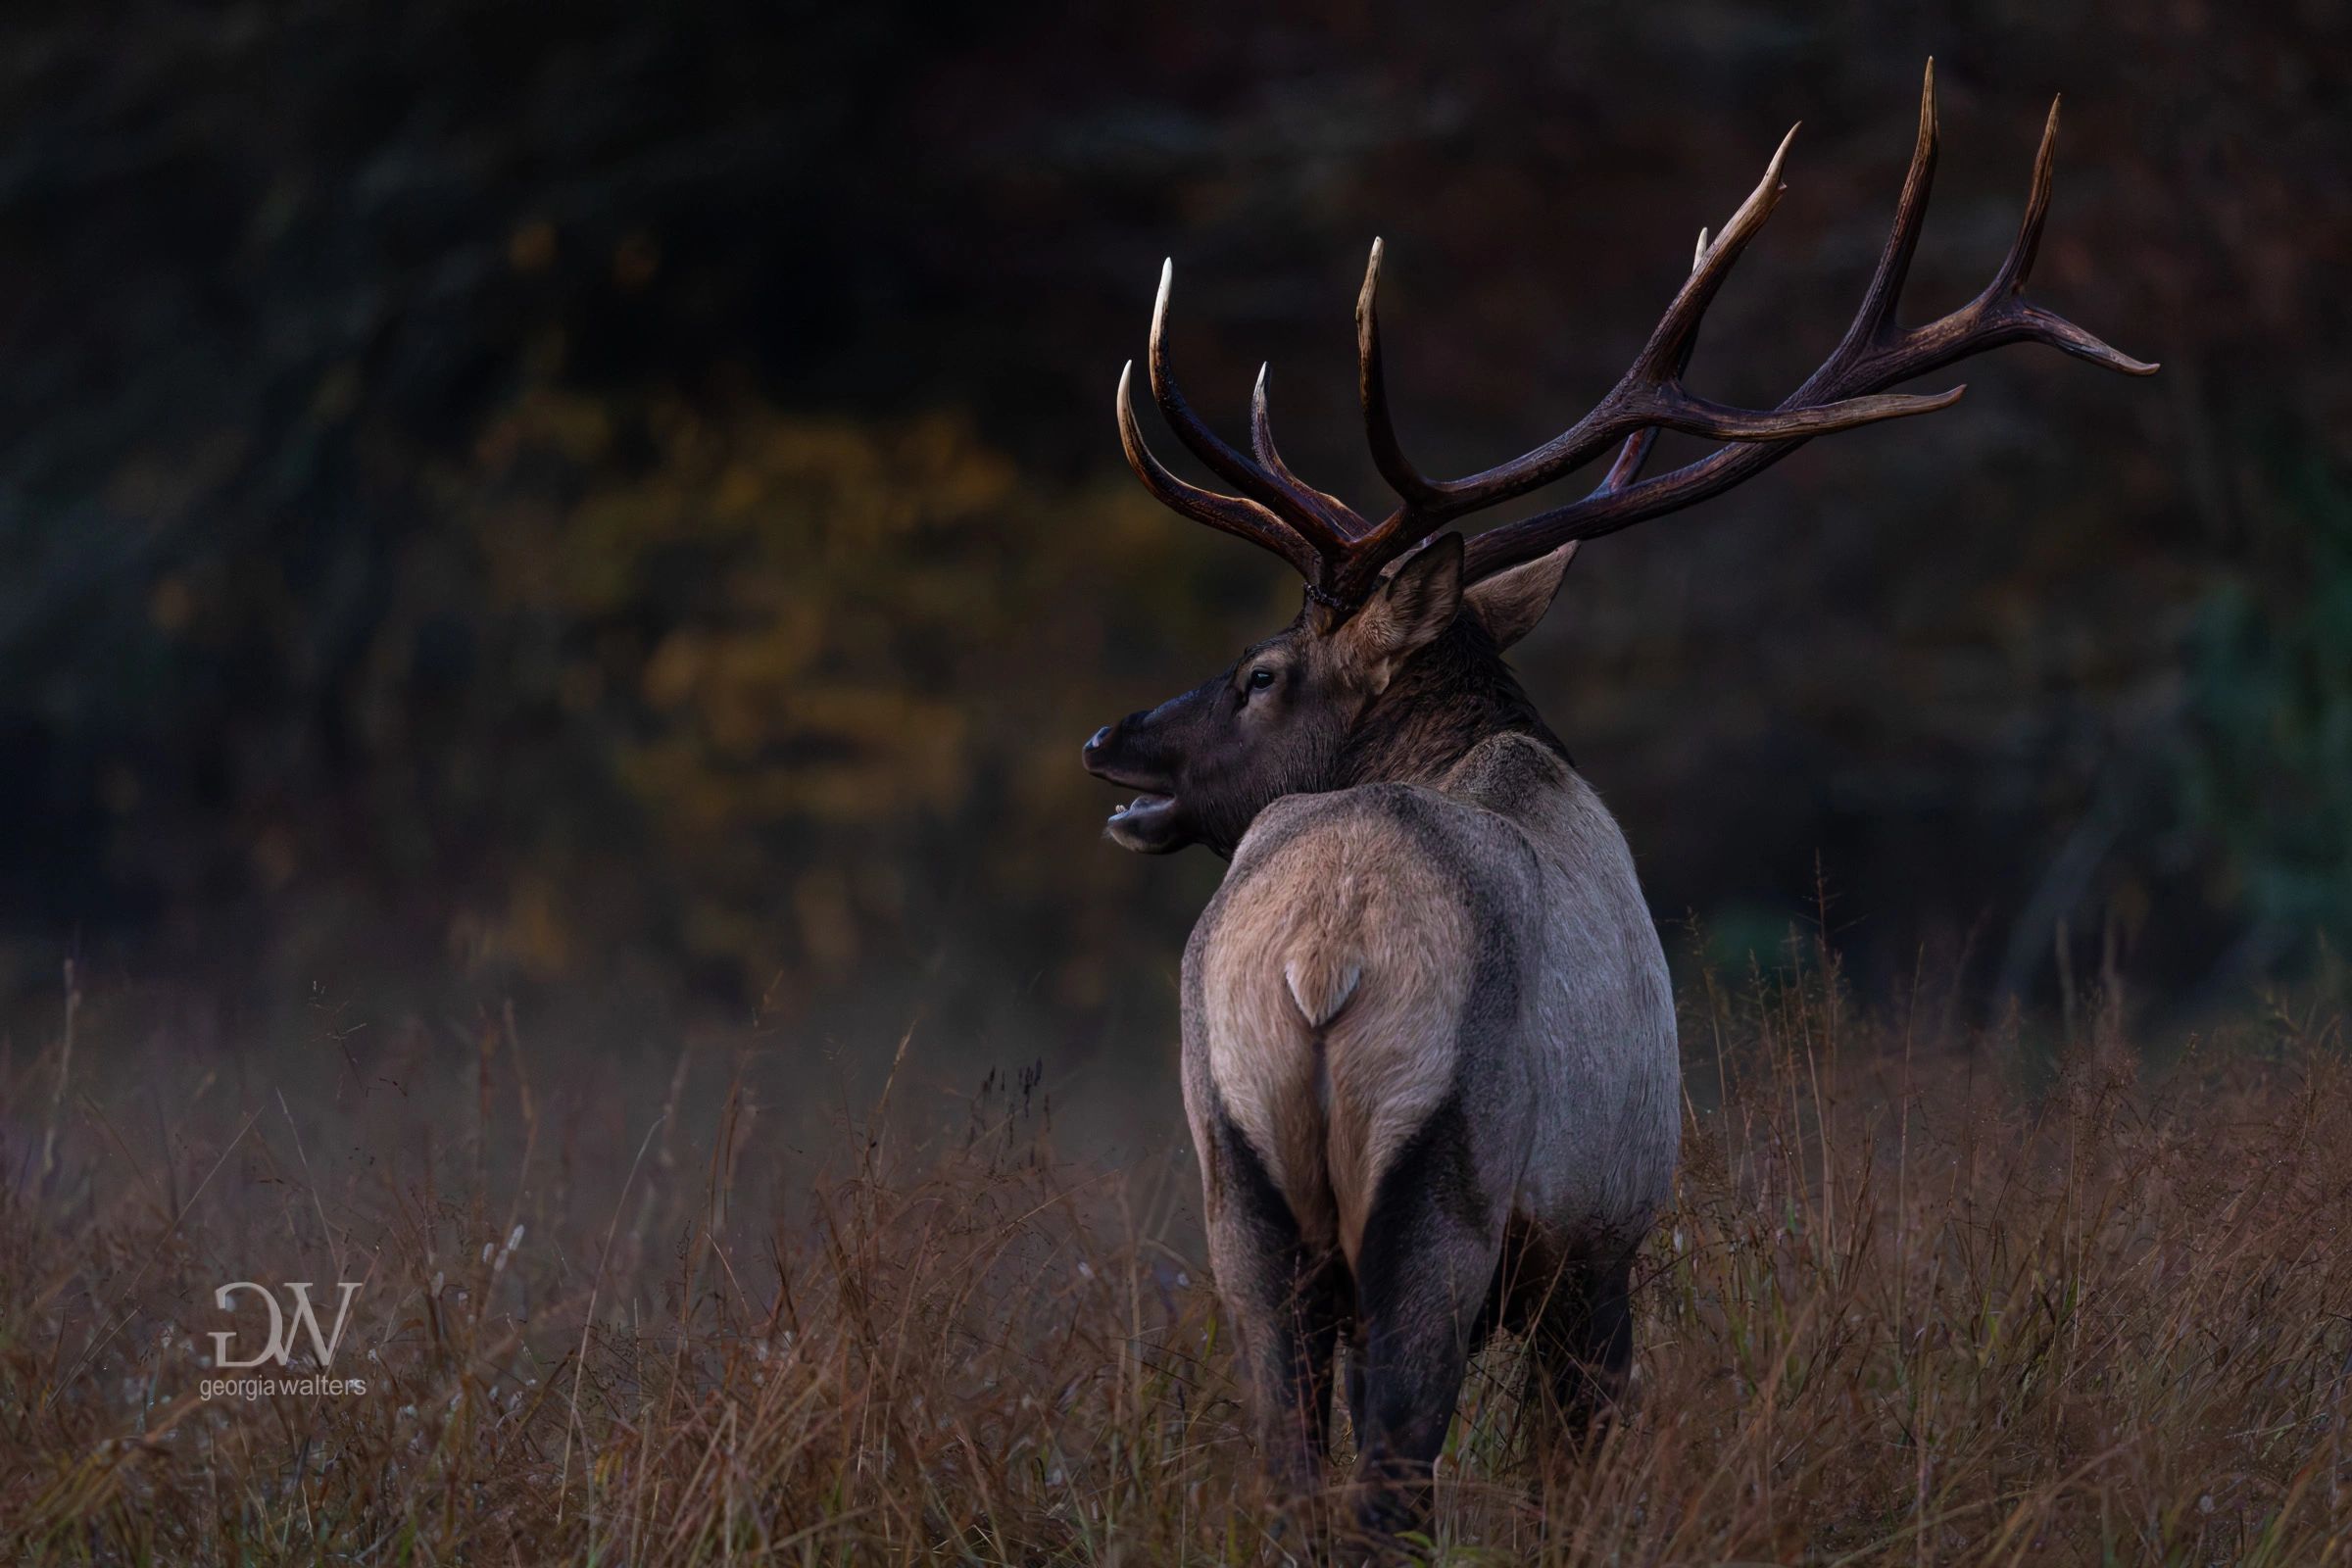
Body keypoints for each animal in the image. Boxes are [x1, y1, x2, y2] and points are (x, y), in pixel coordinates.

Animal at [1080, 65, 2152, 1542]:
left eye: (1259, 674)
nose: (1111, 742)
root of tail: (1317, 959)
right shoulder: (1606, 1235)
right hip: (1444, 1194)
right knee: (1393, 1480)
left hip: (1240, 1190)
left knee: (1301, 1475)